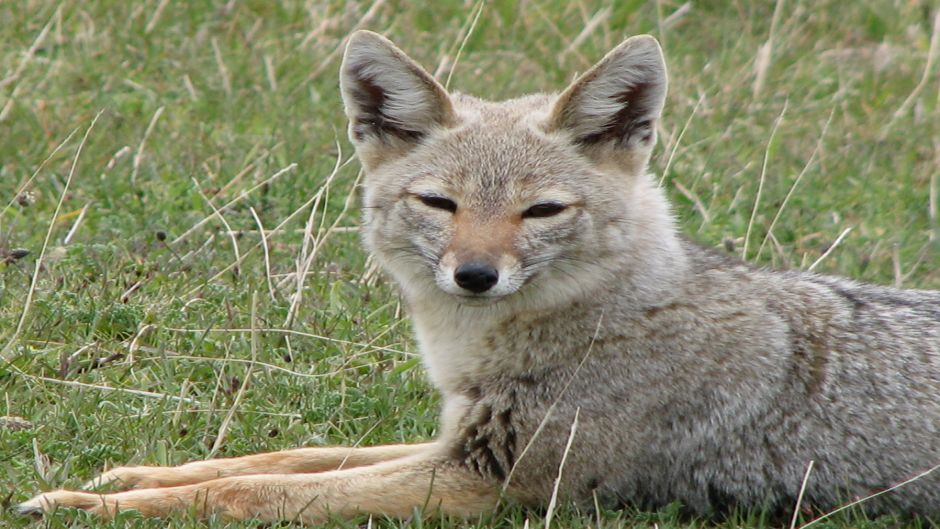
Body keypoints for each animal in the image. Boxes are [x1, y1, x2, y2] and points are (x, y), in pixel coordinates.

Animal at [14, 29, 940, 524]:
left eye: (540, 211)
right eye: (441, 202)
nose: (475, 274)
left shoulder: (490, 485)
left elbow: (259, 492)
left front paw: (91, 509)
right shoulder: (456, 437)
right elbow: (286, 456)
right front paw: (135, 479)